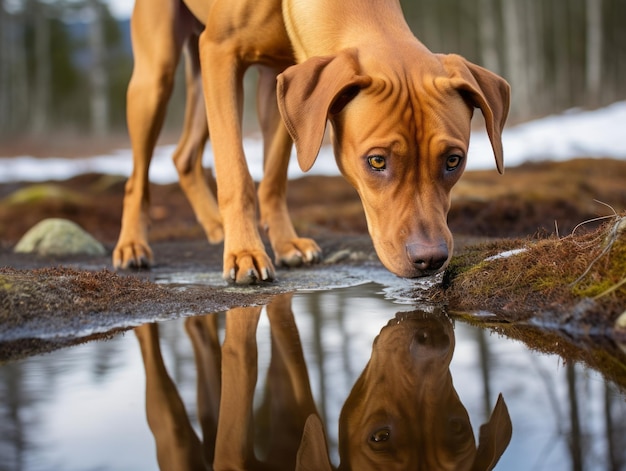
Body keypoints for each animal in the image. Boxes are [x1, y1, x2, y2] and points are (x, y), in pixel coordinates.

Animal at [114, 0, 510, 284]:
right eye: (377, 161)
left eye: (453, 161)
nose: (430, 258)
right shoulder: (220, 52)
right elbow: (236, 173)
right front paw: (244, 251)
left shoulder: (280, 78)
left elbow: (274, 176)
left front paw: (285, 243)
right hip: (156, 77)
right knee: (137, 175)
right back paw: (133, 245)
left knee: (183, 156)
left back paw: (214, 226)